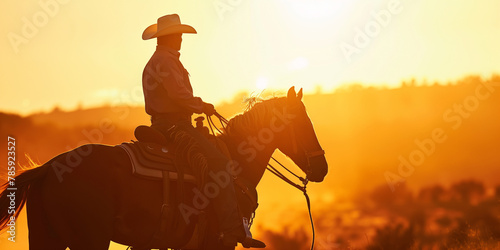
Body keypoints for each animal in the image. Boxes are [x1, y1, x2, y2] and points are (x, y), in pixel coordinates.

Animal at [0, 87, 328, 249]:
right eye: (303, 123)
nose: (321, 167)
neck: (236, 160)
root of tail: (48, 167)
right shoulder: (217, 243)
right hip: (89, 240)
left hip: (46, 238)